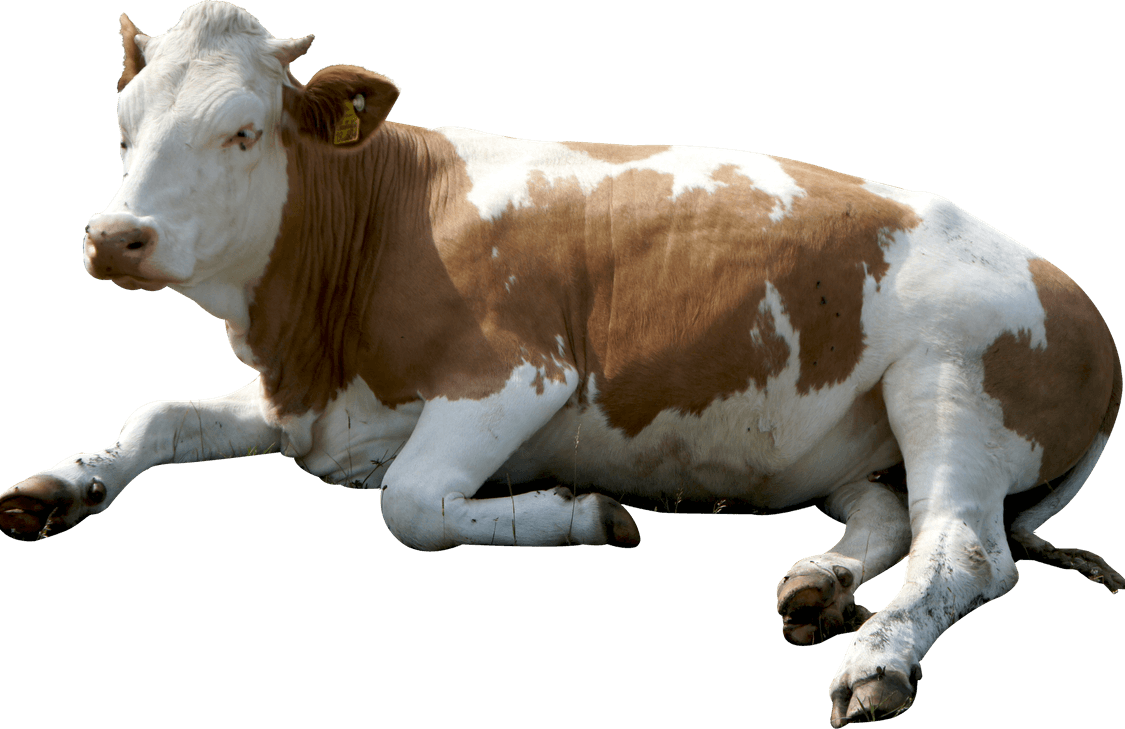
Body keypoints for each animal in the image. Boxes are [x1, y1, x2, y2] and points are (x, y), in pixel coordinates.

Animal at [1, 2, 1120, 725]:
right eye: (123, 129)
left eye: (241, 131)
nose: (115, 237)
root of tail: (1078, 300)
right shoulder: (310, 405)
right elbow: (155, 416)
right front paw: (57, 486)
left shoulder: (520, 373)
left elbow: (409, 505)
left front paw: (583, 513)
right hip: (858, 440)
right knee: (891, 517)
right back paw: (816, 584)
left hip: (951, 380)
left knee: (963, 549)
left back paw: (879, 656)